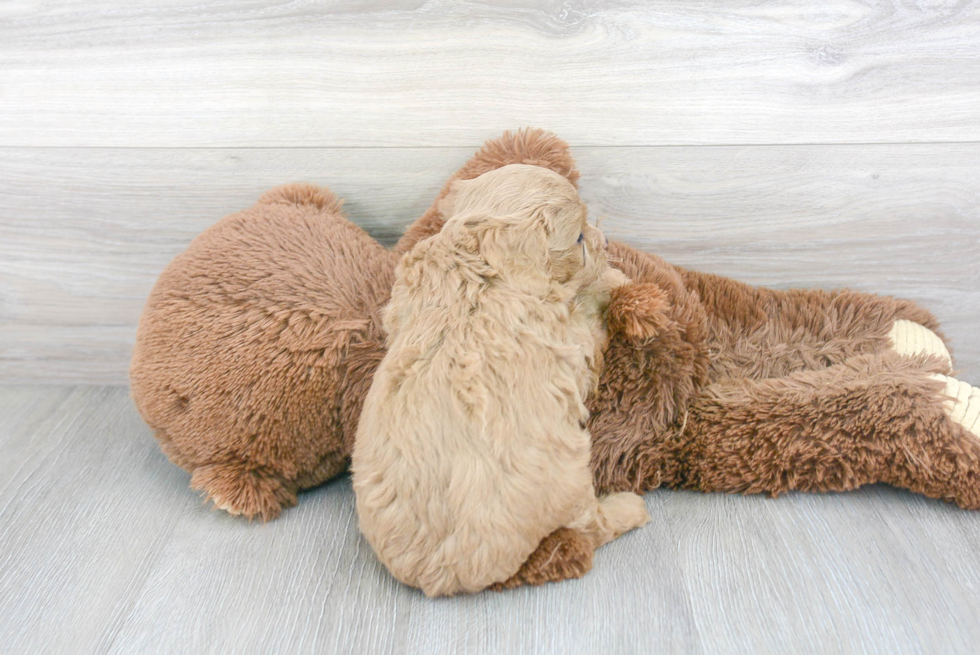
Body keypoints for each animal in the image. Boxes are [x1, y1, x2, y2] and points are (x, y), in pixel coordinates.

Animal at [352, 163, 652, 596]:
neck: (475, 261)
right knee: (590, 526)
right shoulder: (571, 338)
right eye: (579, 238)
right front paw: (613, 278)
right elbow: (591, 314)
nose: (606, 240)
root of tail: (444, 575)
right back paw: (629, 508)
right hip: (570, 476)